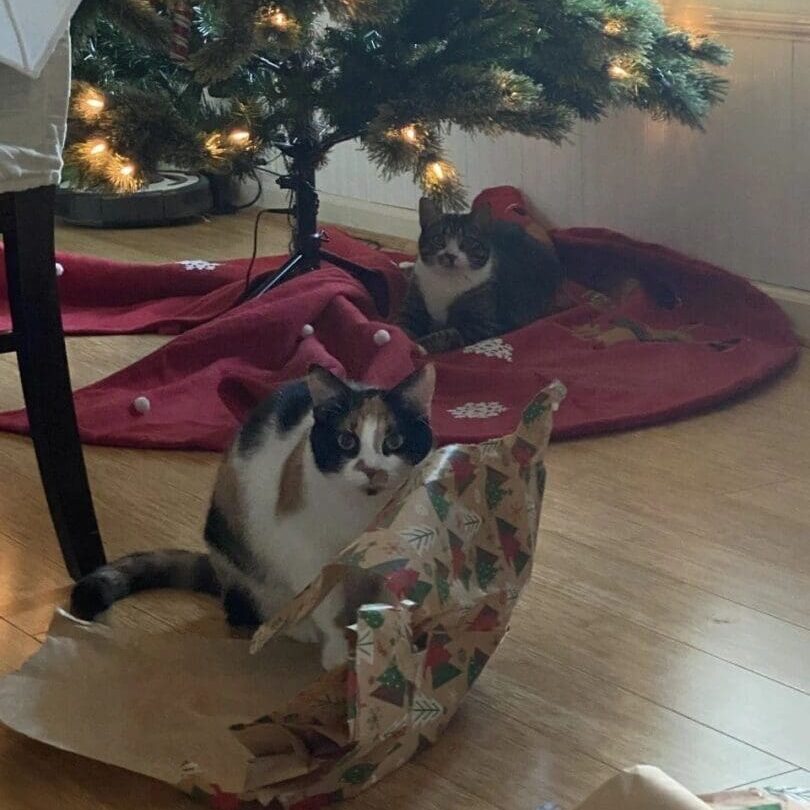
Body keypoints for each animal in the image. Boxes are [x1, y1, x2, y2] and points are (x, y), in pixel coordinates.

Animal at [69, 364, 436, 668]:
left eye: (394, 440)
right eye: (346, 441)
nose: (372, 470)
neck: (363, 515)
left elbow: (390, 598)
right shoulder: (306, 552)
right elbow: (327, 607)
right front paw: (336, 654)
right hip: (240, 556)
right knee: (248, 609)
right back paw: (295, 626)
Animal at [396, 197, 560, 352]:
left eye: (468, 241)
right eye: (438, 239)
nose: (450, 255)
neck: (447, 280)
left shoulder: (484, 326)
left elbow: (449, 334)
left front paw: (419, 345)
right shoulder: (414, 304)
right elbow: (403, 326)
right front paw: (402, 340)